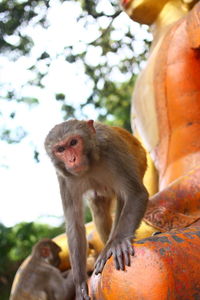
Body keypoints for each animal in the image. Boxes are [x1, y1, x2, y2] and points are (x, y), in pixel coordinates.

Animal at [45, 119, 148, 300]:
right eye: (60, 149)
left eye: (73, 142)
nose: (72, 159)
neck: (91, 164)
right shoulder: (64, 177)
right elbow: (75, 225)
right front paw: (80, 285)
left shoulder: (113, 151)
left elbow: (136, 194)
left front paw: (118, 242)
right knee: (100, 211)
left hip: (140, 162)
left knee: (123, 198)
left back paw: (111, 244)